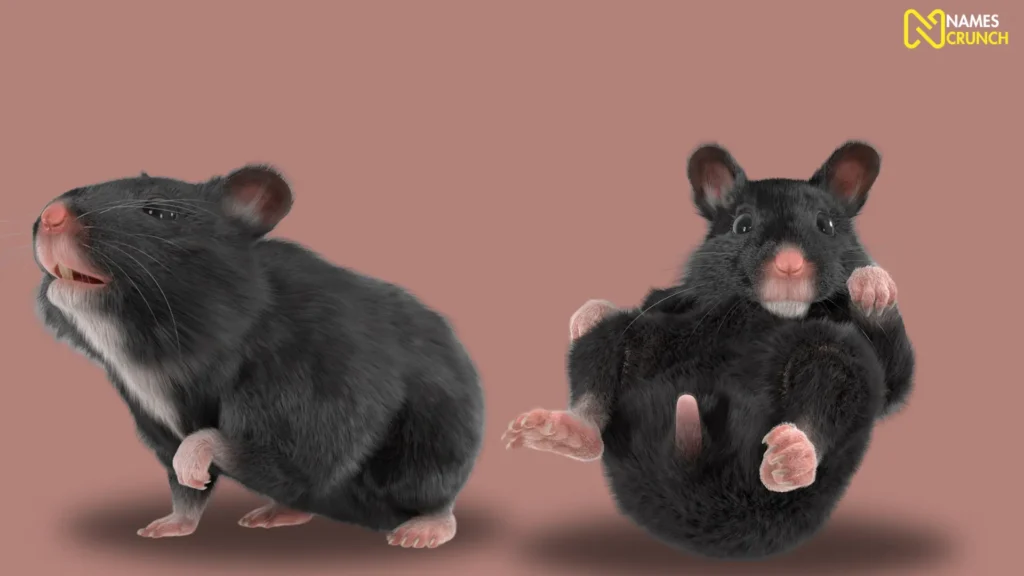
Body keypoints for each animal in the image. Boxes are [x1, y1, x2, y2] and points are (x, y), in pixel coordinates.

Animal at [31, 166, 485, 548]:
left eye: (159, 213)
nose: (49, 216)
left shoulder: (308, 397)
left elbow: (224, 444)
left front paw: (191, 468)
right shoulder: (157, 421)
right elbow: (185, 493)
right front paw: (163, 527)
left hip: (431, 452)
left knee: (434, 500)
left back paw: (419, 532)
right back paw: (272, 514)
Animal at [504, 141, 915, 559]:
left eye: (826, 226)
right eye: (742, 225)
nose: (789, 266)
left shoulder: (875, 360)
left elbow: (896, 373)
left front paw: (871, 284)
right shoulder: (676, 302)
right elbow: (636, 305)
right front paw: (584, 314)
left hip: (839, 356)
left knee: (828, 386)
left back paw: (789, 456)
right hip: (629, 340)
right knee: (602, 361)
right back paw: (558, 430)